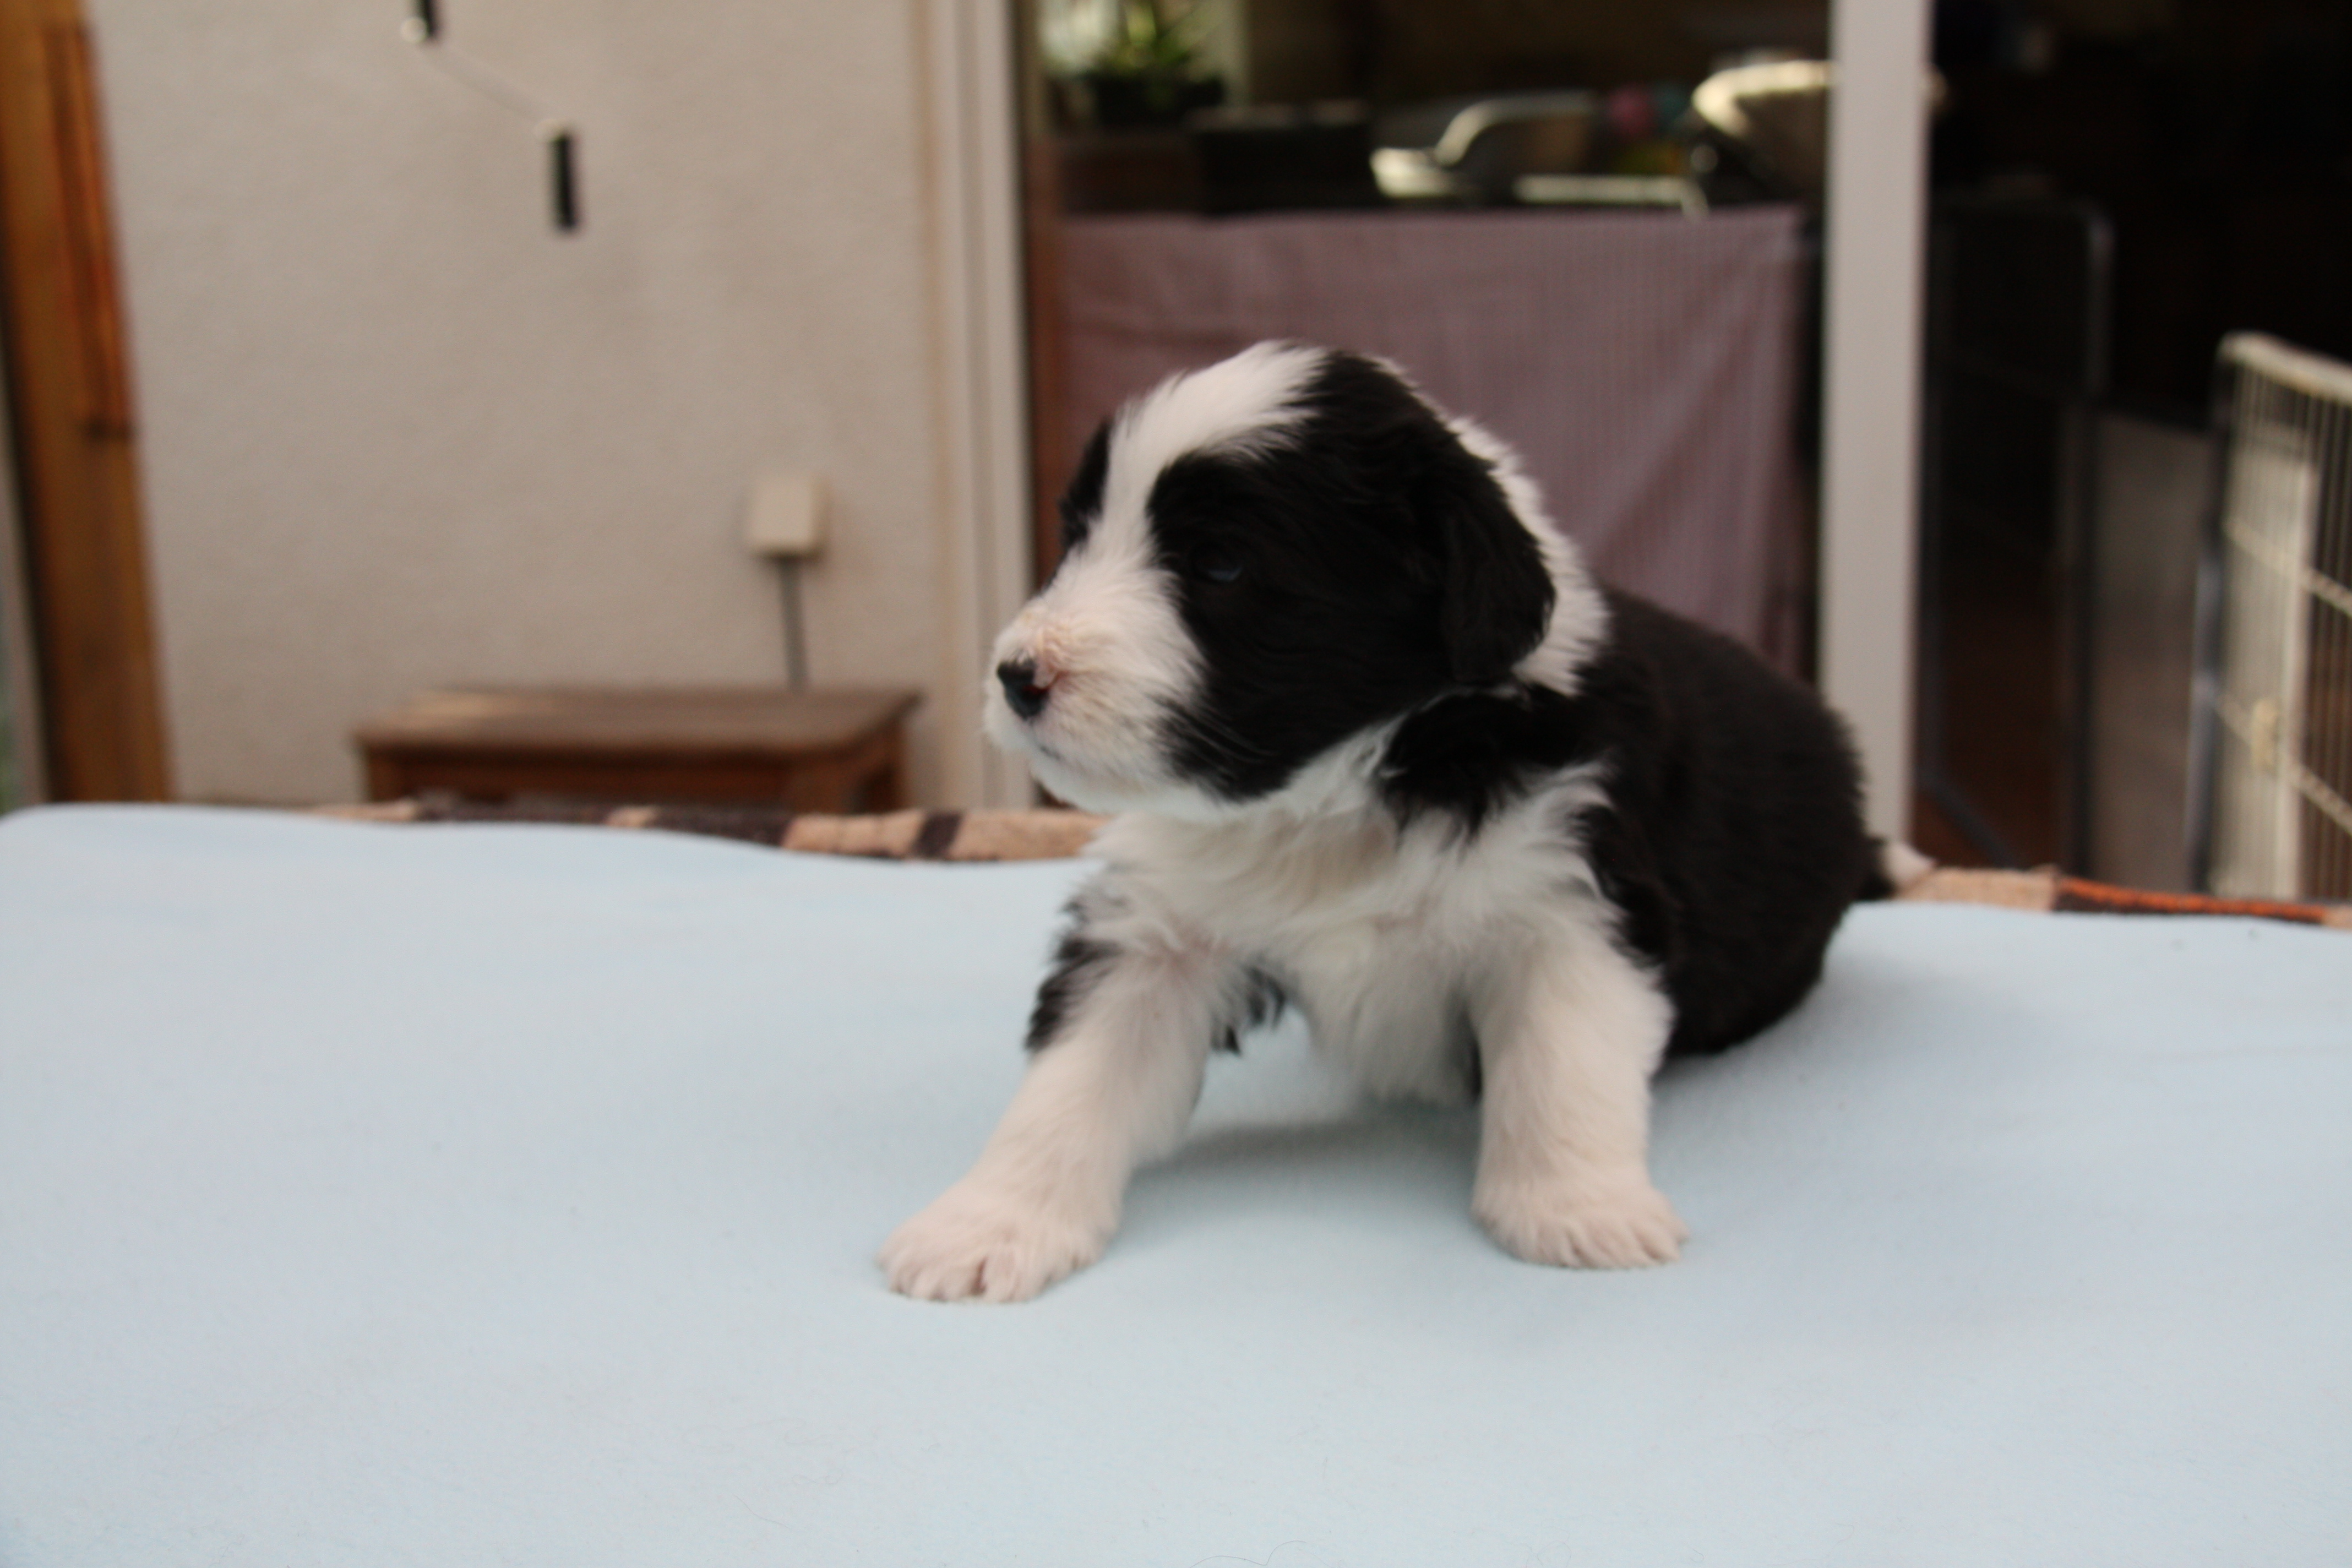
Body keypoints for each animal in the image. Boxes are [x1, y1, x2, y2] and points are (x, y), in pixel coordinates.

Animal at [881, 342, 1889, 1302]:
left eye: (1220, 564)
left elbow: (1562, 1065)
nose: (1018, 676)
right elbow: (1073, 1078)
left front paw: (1576, 1209)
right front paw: (985, 1225)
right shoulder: (1159, 934)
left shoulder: (1576, 899)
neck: (1336, 796)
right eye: (1077, 536)